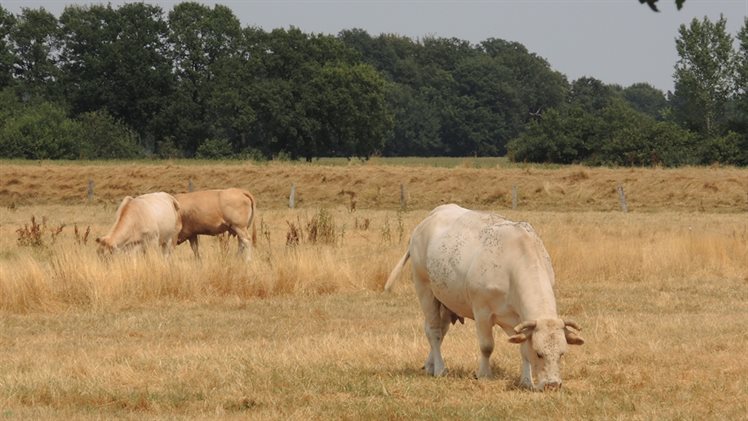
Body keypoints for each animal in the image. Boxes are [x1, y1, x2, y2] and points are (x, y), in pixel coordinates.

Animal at [386, 203, 584, 390]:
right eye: (539, 353)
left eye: (562, 354)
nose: (553, 385)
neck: (514, 261)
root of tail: (427, 220)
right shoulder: (482, 312)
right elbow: (487, 346)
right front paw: (484, 374)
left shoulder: (520, 321)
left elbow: (522, 349)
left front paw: (527, 381)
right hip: (425, 290)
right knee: (434, 331)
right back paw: (440, 369)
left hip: (445, 301)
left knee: (440, 330)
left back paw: (430, 365)